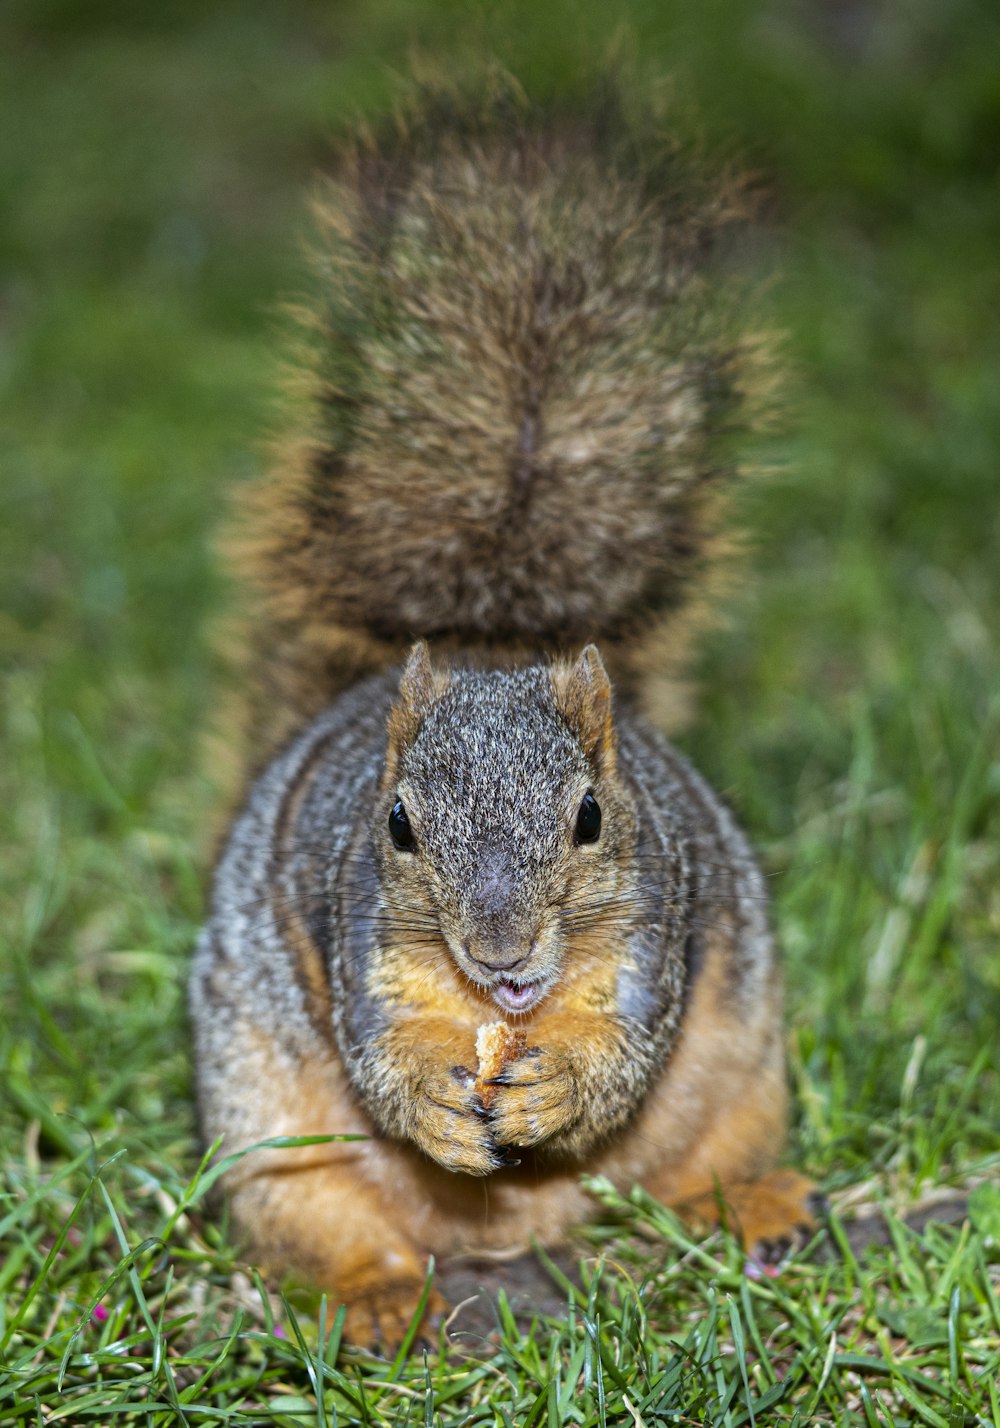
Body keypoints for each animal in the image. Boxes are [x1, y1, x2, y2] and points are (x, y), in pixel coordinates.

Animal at [187, 78, 811, 1348]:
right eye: (397, 826)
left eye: (590, 818)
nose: (501, 952)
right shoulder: (360, 944)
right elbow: (381, 1063)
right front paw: (433, 1101)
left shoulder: (659, 938)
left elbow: (623, 1061)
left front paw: (559, 1086)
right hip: (271, 1142)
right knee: (331, 1231)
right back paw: (375, 1301)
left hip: (743, 1074)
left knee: (700, 1161)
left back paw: (753, 1203)